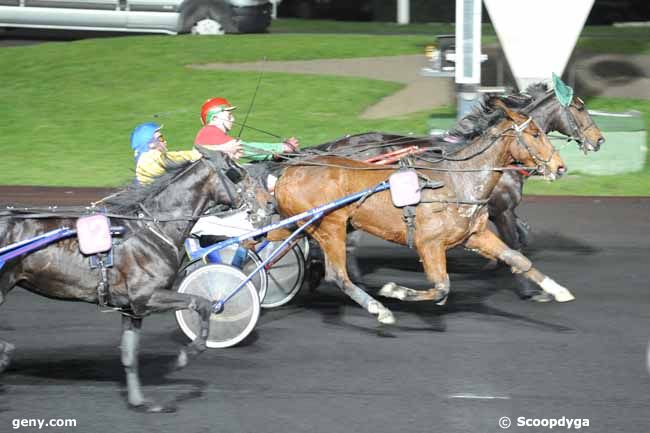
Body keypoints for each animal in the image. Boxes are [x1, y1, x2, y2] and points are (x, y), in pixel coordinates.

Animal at [0, 148, 248, 412]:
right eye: (235, 172)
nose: (257, 205)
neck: (153, 229)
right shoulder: (147, 296)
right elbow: (202, 303)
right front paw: (185, 355)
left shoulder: (131, 309)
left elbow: (129, 355)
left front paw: (140, 401)